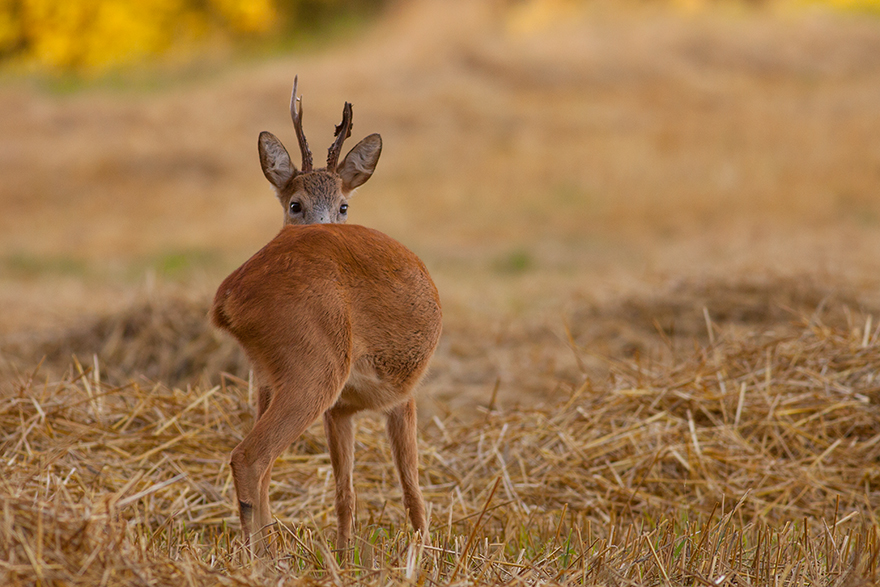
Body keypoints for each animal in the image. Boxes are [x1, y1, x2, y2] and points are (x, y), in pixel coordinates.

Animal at [213, 79, 440, 560]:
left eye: (344, 206)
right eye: (294, 204)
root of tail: (228, 296)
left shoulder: (342, 410)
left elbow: (345, 492)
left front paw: (344, 554)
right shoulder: (404, 395)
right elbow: (411, 486)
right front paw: (426, 552)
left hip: (269, 377)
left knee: (265, 467)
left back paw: (270, 549)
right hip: (315, 365)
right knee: (250, 457)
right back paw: (263, 559)